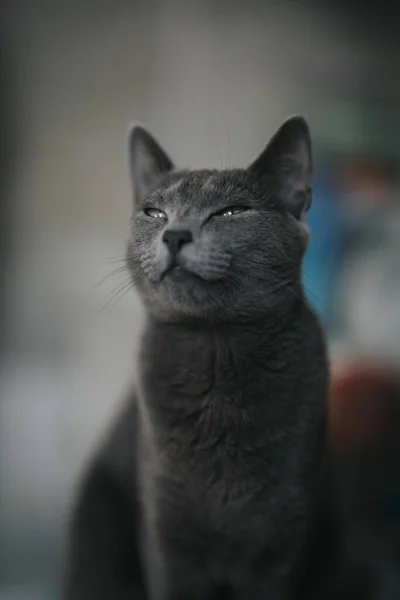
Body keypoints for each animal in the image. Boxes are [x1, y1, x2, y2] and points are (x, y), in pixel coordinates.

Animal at [64, 117, 332, 600]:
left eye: (231, 212)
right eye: (154, 213)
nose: (174, 234)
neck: (217, 356)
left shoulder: (284, 541)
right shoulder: (165, 533)